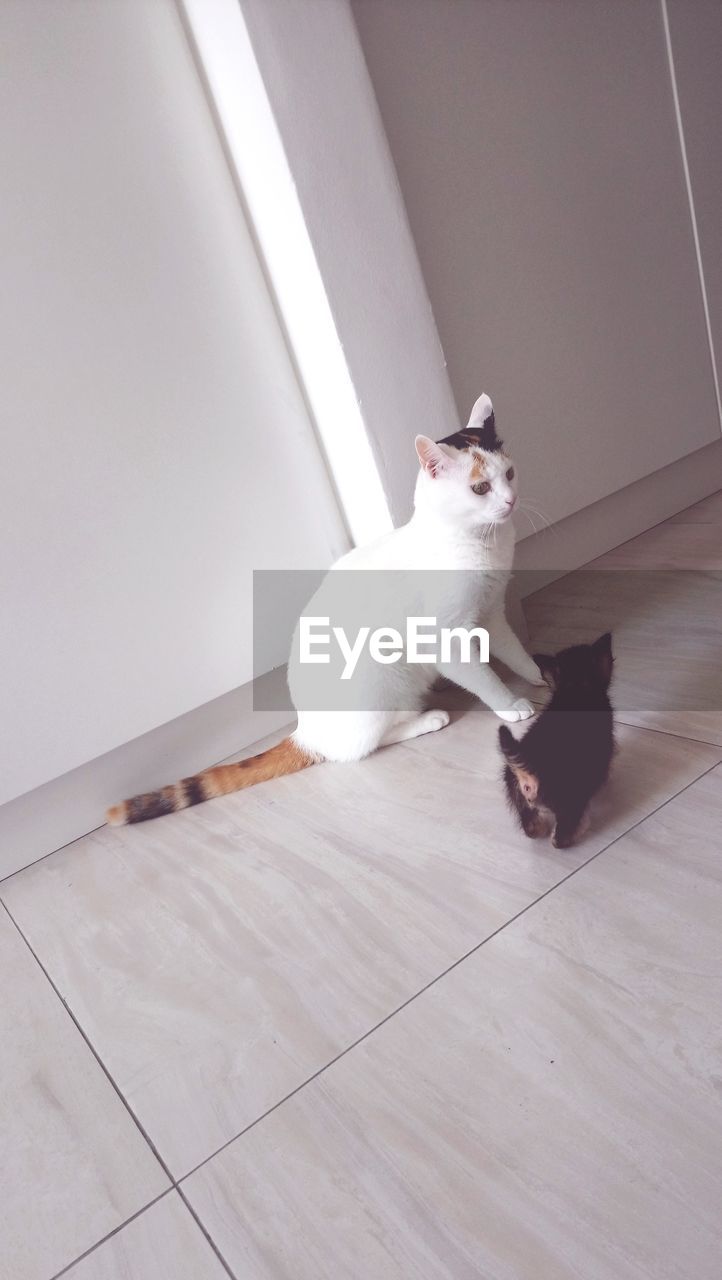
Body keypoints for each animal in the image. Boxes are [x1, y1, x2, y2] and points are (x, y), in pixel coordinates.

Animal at [108, 394, 542, 824]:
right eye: (480, 488)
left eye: (511, 474)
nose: (511, 500)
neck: (479, 543)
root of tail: (306, 730)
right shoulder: (444, 637)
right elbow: (482, 676)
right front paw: (511, 706)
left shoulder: (490, 613)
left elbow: (513, 650)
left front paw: (537, 675)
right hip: (383, 684)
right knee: (362, 747)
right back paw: (429, 718)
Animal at [501, 632, 614, 849]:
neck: (575, 689)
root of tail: (530, 775)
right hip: (572, 795)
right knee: (560, 838)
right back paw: (575, 832)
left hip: (515, 791)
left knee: (529, 825)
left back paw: (538, 829)